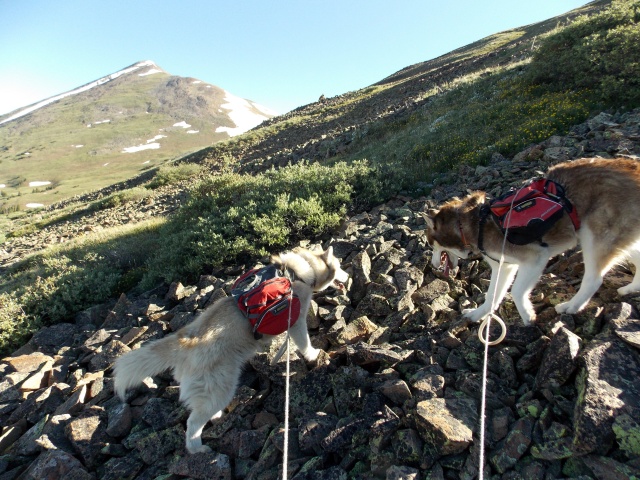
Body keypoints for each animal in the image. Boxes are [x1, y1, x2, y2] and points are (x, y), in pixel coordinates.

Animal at [112, 248, 348, 454]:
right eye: (339, 266)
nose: (348, 277)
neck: (299, 272)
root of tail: (186, 340)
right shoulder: (296, 321)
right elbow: (304, 343)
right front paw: (313, 354)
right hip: (220, 388)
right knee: (193, 423)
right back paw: (197, 450)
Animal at [422, 159, 640, 324]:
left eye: (431, 245)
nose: (432, 265)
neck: (472, 224)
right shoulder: (504, 267)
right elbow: (492, 295)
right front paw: (478, 314)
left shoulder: (534, 258)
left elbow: (517, 291)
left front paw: (527, 316)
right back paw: (630, 289)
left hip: (594, 238)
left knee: (593, 279)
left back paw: (570, 306)